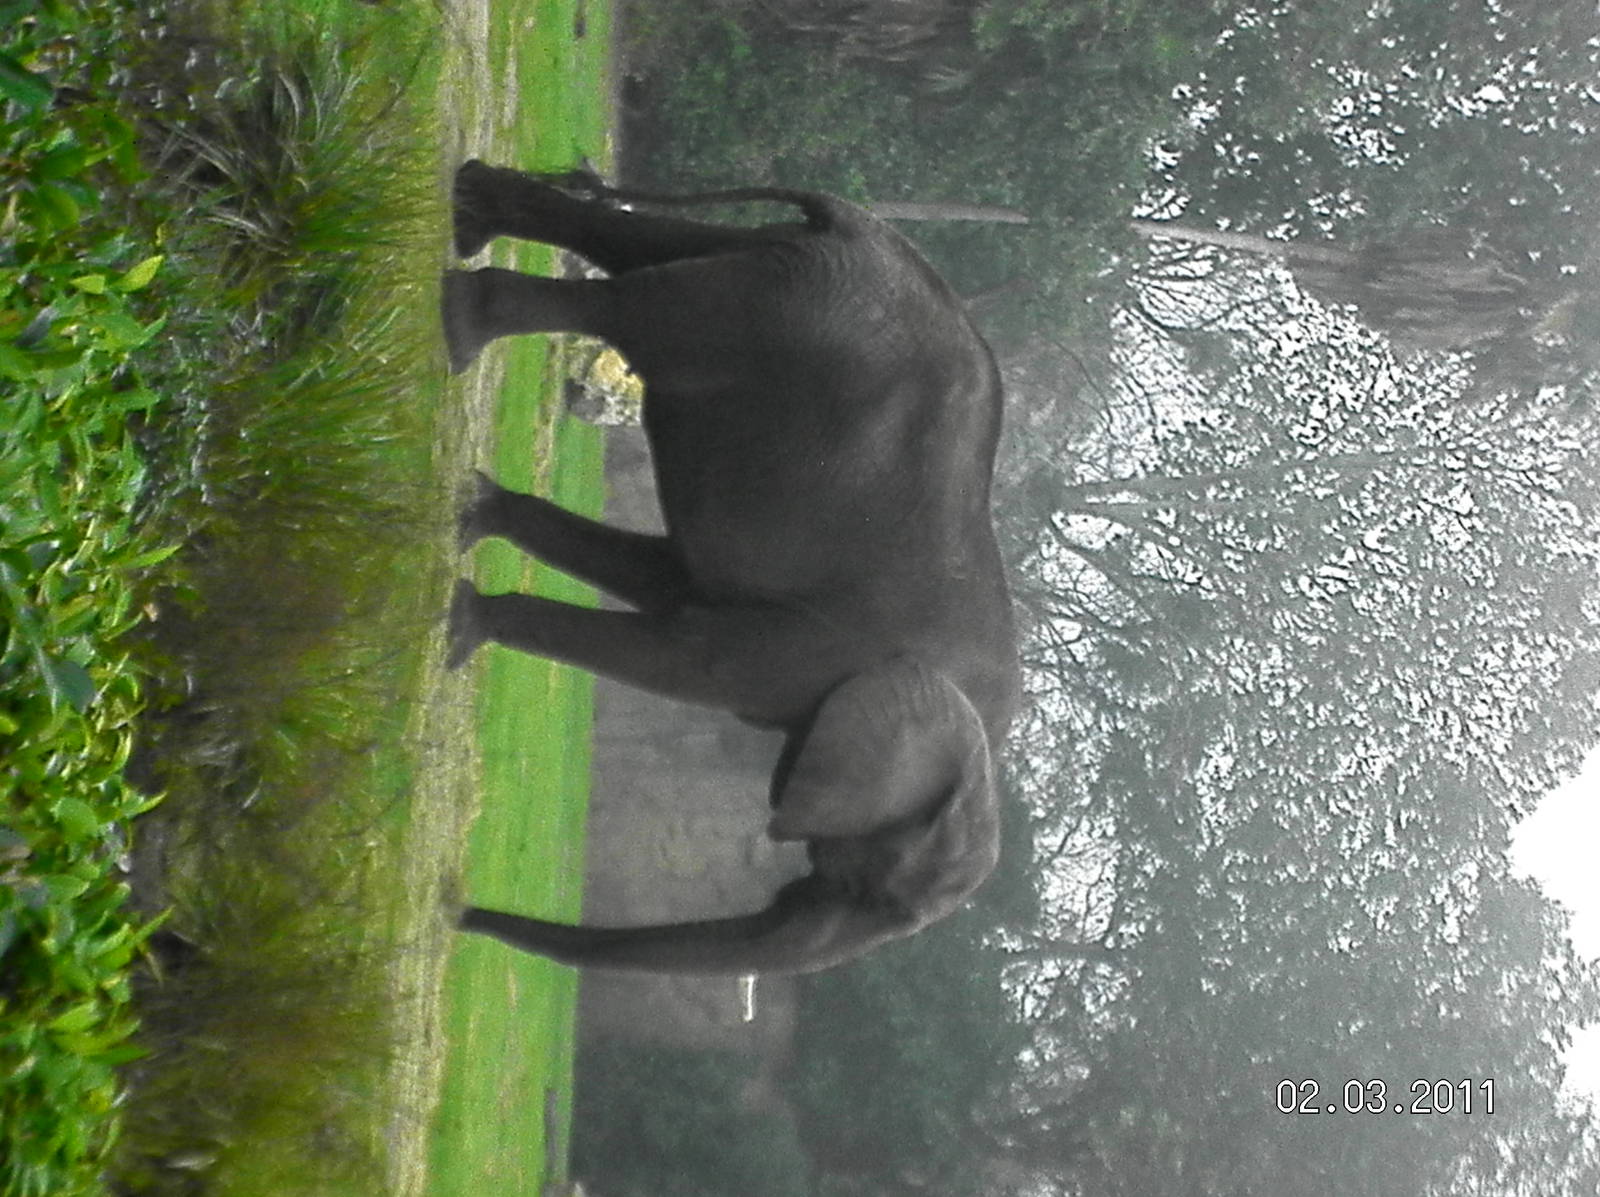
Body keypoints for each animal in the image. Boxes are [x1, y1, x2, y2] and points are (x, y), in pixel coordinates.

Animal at [442, 160, 1021, 975]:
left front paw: (473, 513)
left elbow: (663, 582)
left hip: (776, 278)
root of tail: (860, 229)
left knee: (638, 249)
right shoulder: (810, 649)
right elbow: (688, 659)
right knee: (637, 310)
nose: (456, 911)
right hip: (788, 314)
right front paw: (460, 624)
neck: (988, 742)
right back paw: (463, 322)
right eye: (885, 897)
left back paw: (471, 212)